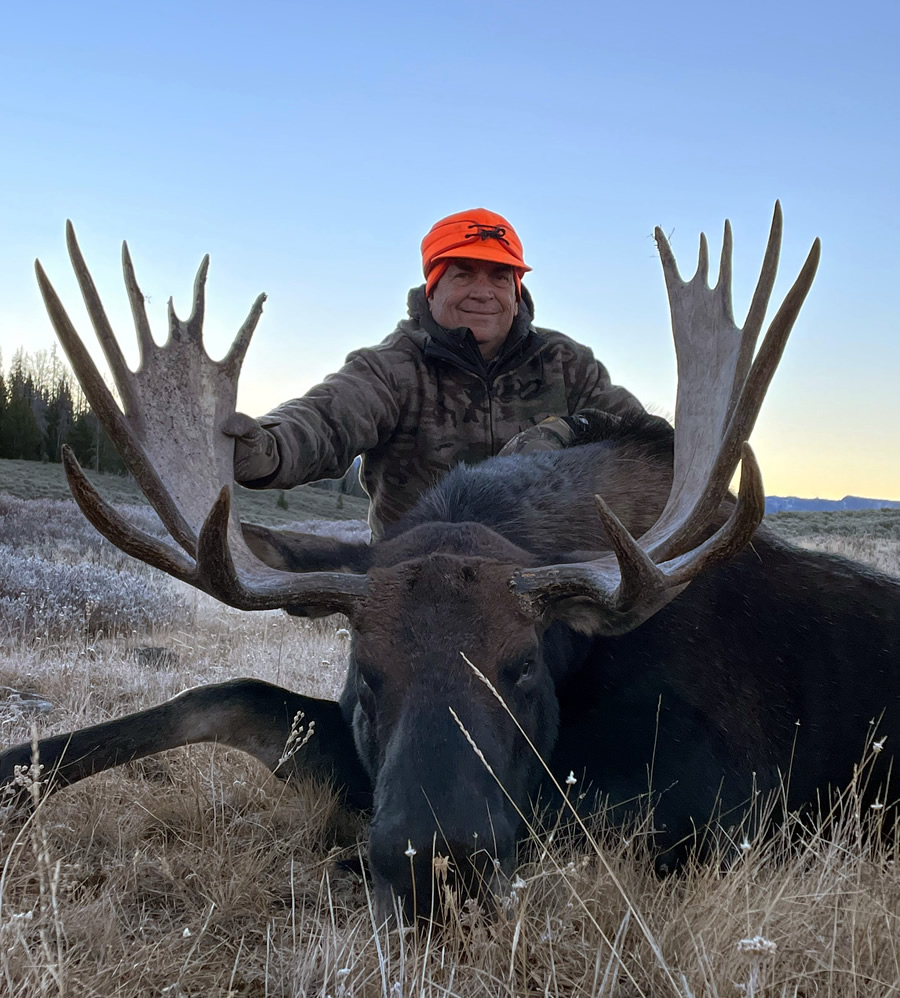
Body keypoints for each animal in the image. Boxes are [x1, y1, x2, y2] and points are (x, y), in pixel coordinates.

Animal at [1, 207, 900, 924]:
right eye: (365, 673)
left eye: (524, 666)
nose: (435, 869)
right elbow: (223, 694)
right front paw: (17, 775)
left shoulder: (729, 805)